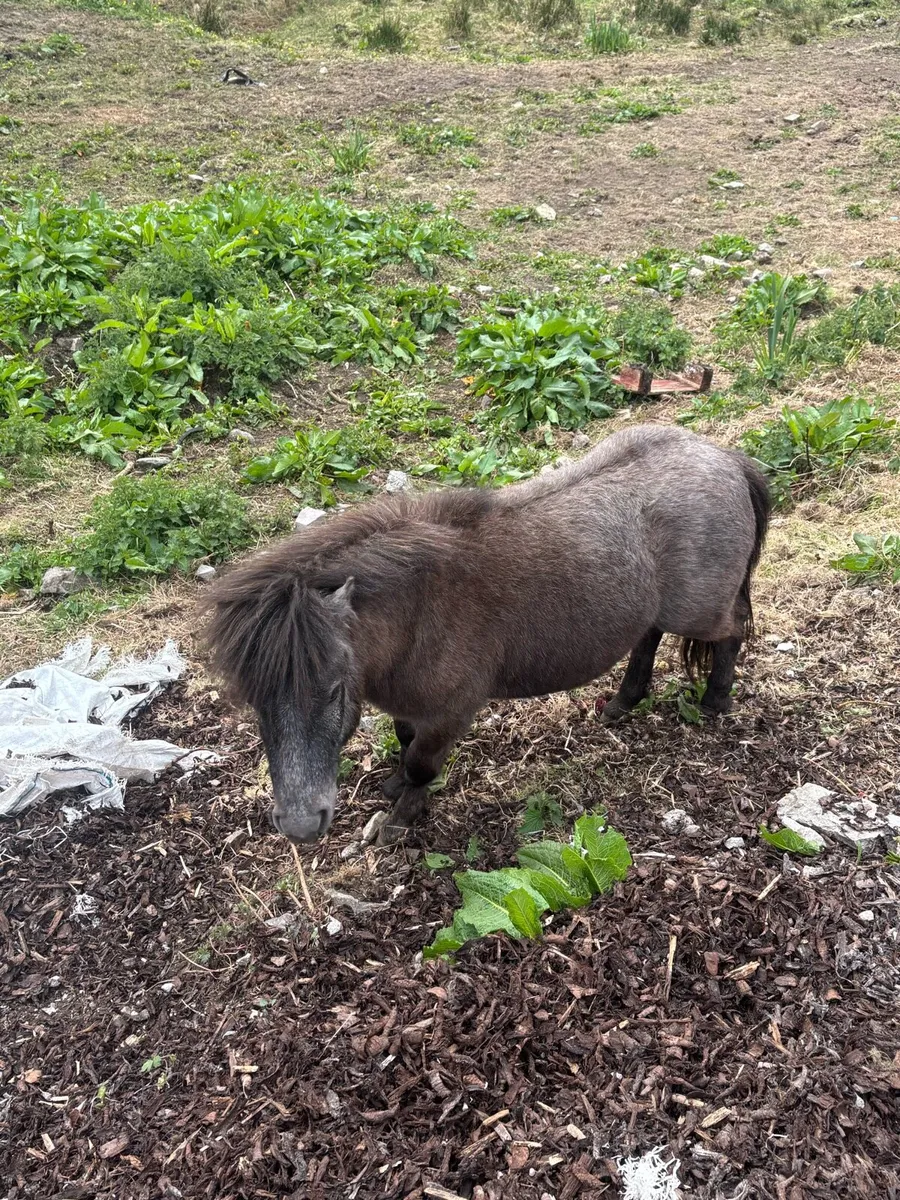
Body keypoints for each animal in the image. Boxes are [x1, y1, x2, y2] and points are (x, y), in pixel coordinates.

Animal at [200, 424, 770, 846]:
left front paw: (400, 819)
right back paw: (622, 703)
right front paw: (392, 787)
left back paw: (717, 701)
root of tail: (726, 457)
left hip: (698, 611)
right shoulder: (410, 705)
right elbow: (403, 743)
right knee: (648, 636)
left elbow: (421, 763)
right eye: (253, 700)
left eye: (335, 688)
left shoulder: (451, 713)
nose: (300, 826)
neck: (419, 608)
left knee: (729, 633)